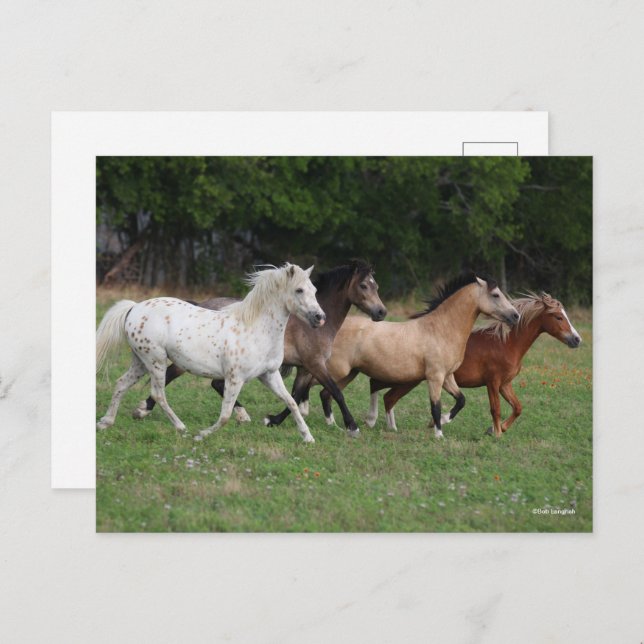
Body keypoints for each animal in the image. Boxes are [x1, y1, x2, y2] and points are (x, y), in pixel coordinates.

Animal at [96, 264, 326, 443]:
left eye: (314, 289)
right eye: (299, 290)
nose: (320, 317)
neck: (255, 329)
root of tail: (134, 308)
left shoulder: (269, 375)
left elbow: (291, 402)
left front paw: (308, 437)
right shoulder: (235, 379)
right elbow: (225, 415)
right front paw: (201, 435)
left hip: (141, 362)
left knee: (121, 383)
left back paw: (105, 422)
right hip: (155, 361)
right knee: (158, 394)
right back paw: (181, 427)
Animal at [132, 260, 387, 437]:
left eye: (376, 286)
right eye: (364, 285)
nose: (381, 312)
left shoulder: (304, 369)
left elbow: (295, 396)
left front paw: (274, 420)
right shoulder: (315, 364)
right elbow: (335, 391)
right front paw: (352, 426)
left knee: (212, 384)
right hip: (190, 361)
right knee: (171, 377)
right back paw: (145, 409)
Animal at [315, 272, 520, 438]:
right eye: (495, 294)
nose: (516, 315)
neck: (441, 330)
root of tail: (334, 328)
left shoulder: (447, 376)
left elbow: (461, 400)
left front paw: (443, 421)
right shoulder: (435, 377)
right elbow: (435, 406)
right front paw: (438, 434)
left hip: (349, 373)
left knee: (326, 393)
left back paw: (334, 425)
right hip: (337, 371)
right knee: (325, 390)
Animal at [367, 292, 582, 437]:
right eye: (558, 316)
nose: (577, 339)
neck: (506, 343)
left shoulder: (505, 384)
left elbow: (518, 407)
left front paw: (495, 429)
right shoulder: (493, 383)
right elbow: (495, 408)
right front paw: (496, 433)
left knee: (387, 396)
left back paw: (391, 427)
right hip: (406, 378)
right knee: (379, 388)